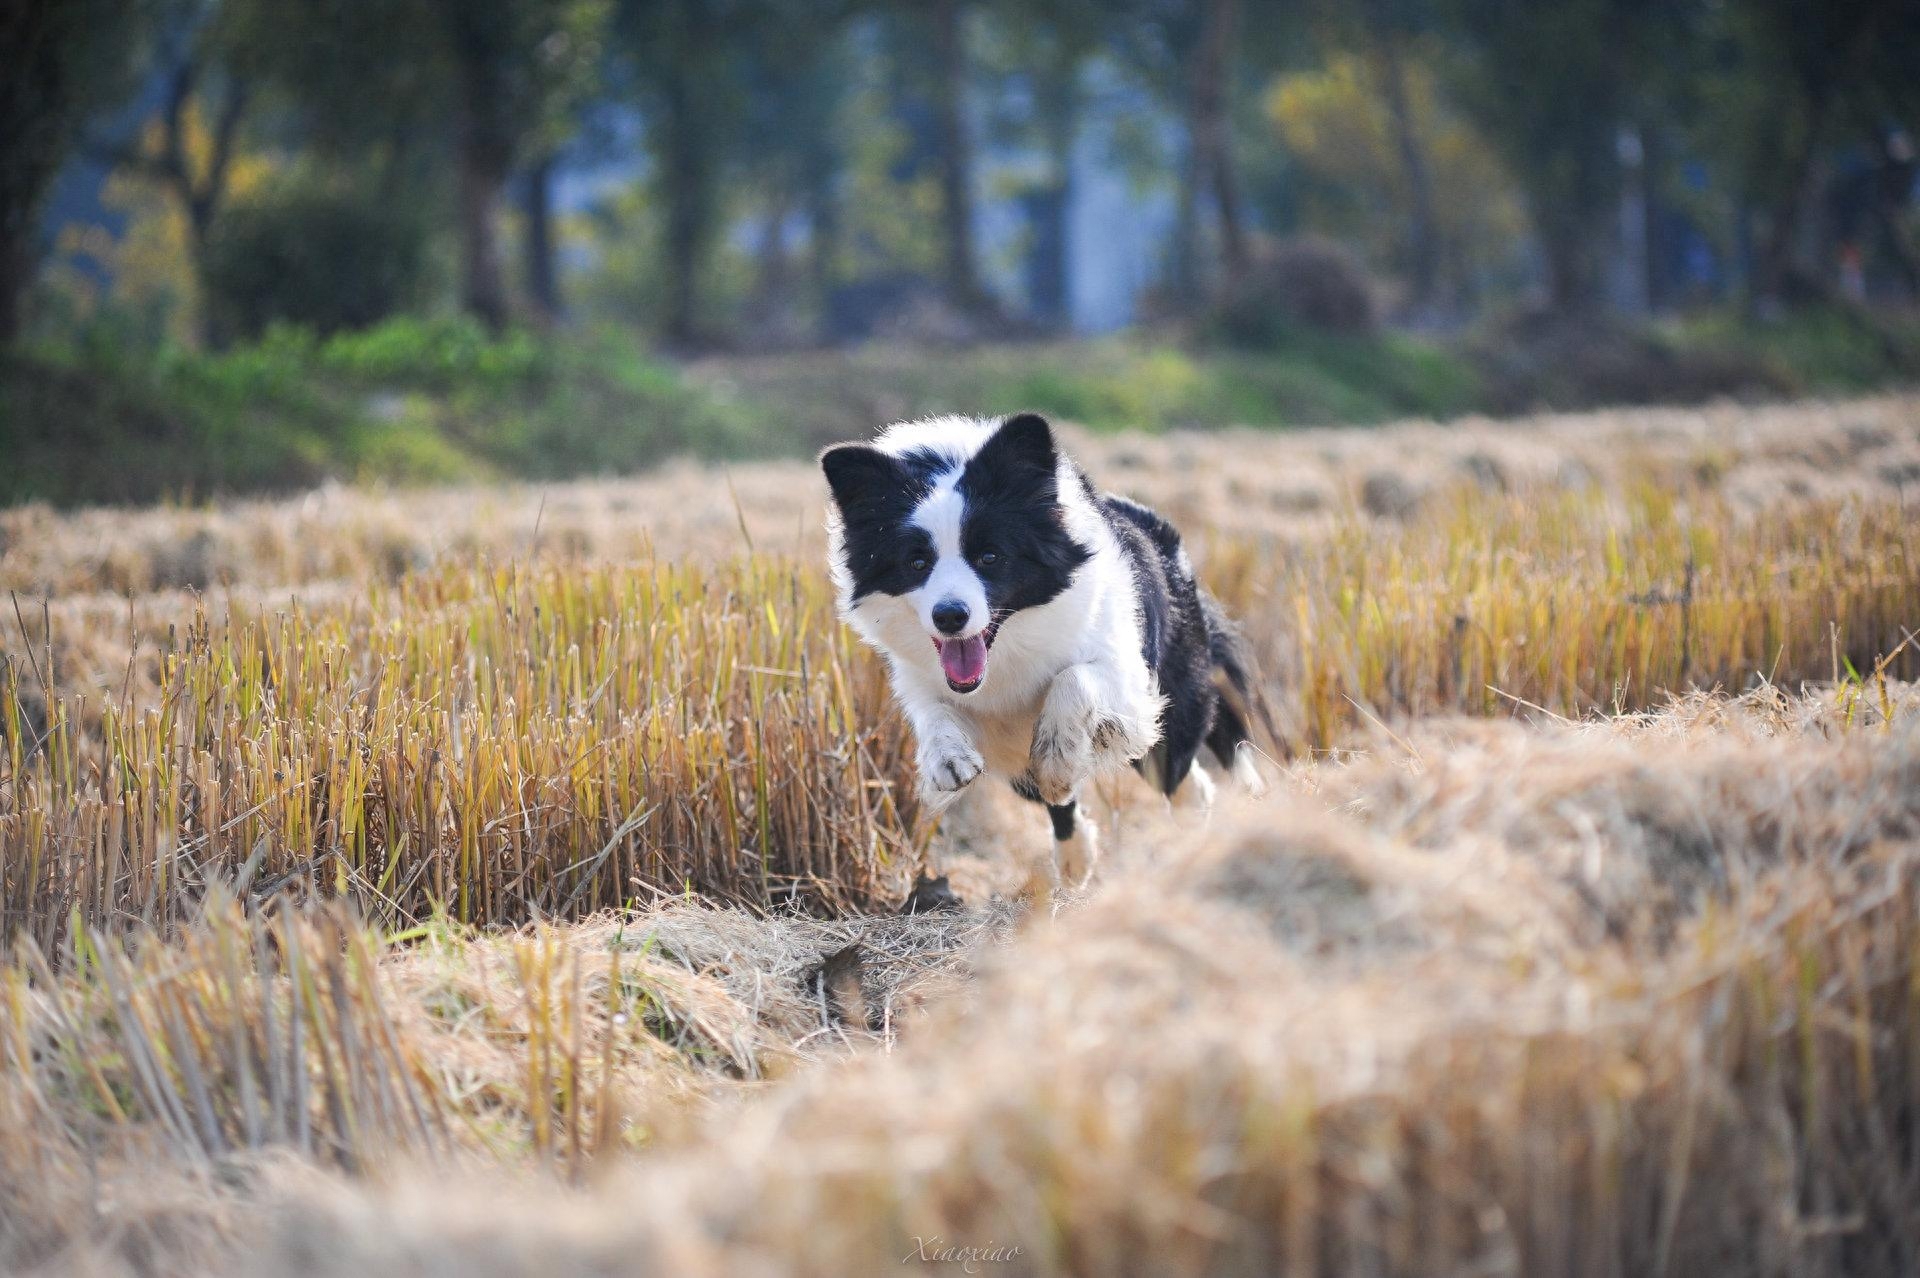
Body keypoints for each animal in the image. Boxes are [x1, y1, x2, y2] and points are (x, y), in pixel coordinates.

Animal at [817, 412, 1267, 882]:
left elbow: (1073, 679)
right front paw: (948, 760)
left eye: (990, 556)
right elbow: (933, 713)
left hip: (1176, 696)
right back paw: (1074, 857)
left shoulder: (1126, 676)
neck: (1008, 653)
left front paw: (1056, 759)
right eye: (917, 562)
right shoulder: (927, 682)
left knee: (1177, 768)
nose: (949, 616)